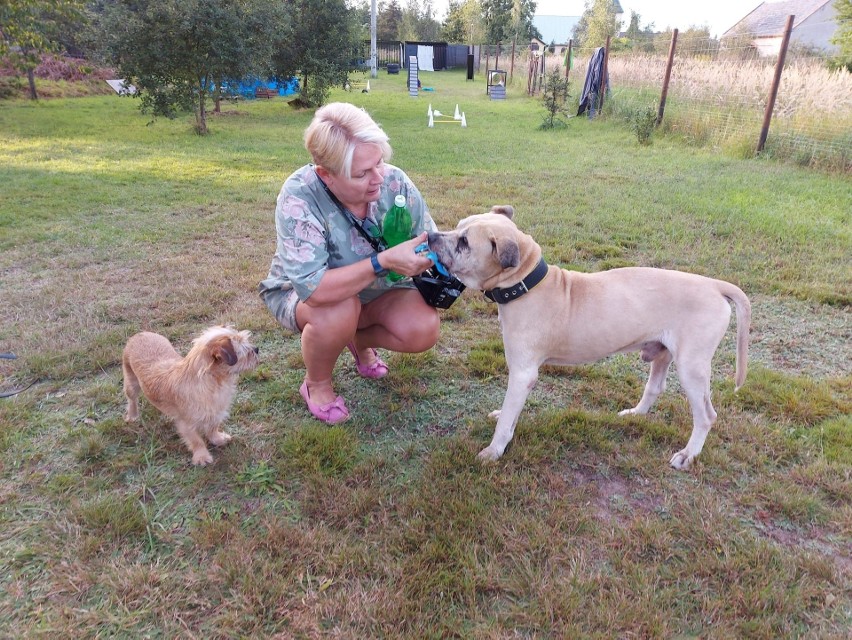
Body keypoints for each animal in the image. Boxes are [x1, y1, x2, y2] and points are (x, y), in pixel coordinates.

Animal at [121, 324, 258, 464]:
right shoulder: (187, 423)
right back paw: (132, 416)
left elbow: (213, 428)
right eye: (246, 351)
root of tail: (140, 334)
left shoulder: (215, 412)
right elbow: (196, 441)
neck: (213, 381)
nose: (257, 349)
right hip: (131, 384)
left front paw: (217, 439)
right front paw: (202, 456)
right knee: (132, 400)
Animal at [430, 206, 748, 470]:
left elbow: (508, 417)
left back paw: (688, 454)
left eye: (464, 242)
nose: (431, 235)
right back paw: (636, 413)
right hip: (663, 353)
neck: (527, 284)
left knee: (706, 416)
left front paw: (494, 450)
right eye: (457, 227)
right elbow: (510, 411)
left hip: (692, 367)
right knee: (655, 387)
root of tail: (713, 285)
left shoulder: (522, 373)